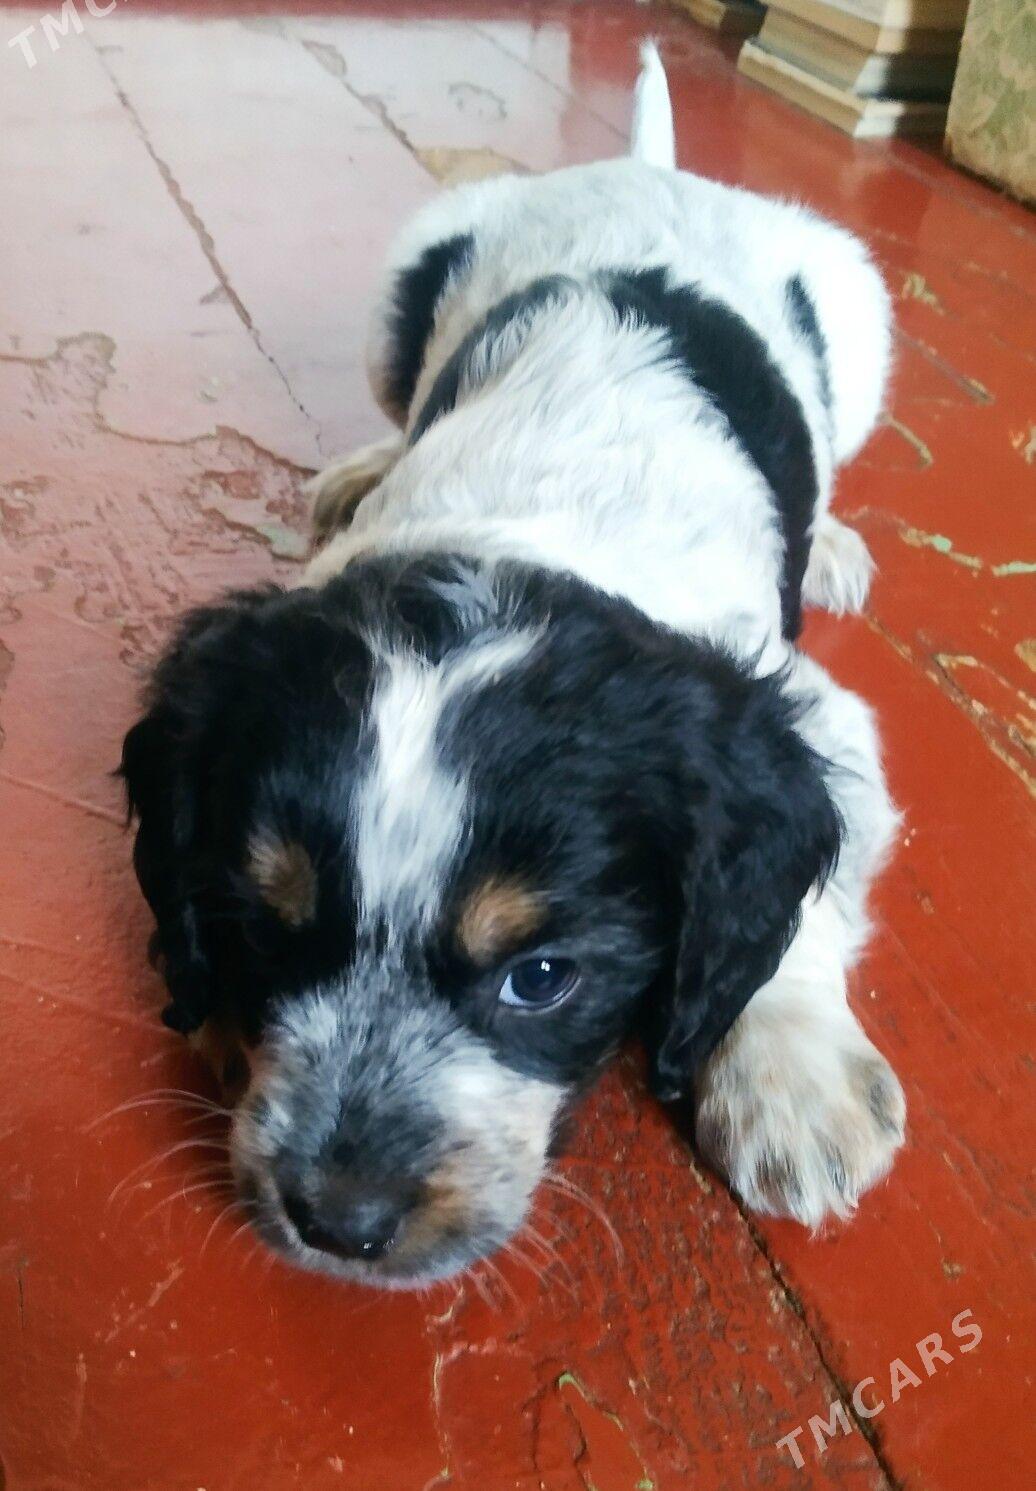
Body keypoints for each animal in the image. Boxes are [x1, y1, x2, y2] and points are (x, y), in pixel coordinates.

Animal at [121, 44, 905, 1288]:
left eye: (540, 978)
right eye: (265, 925)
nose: (340, 1223)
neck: (526, 532)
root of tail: (648, 171)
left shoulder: (815, 716)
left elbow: (803, 906)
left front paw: (787, 1077)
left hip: (860, 315)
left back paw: (829, 541)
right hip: (399, 294)